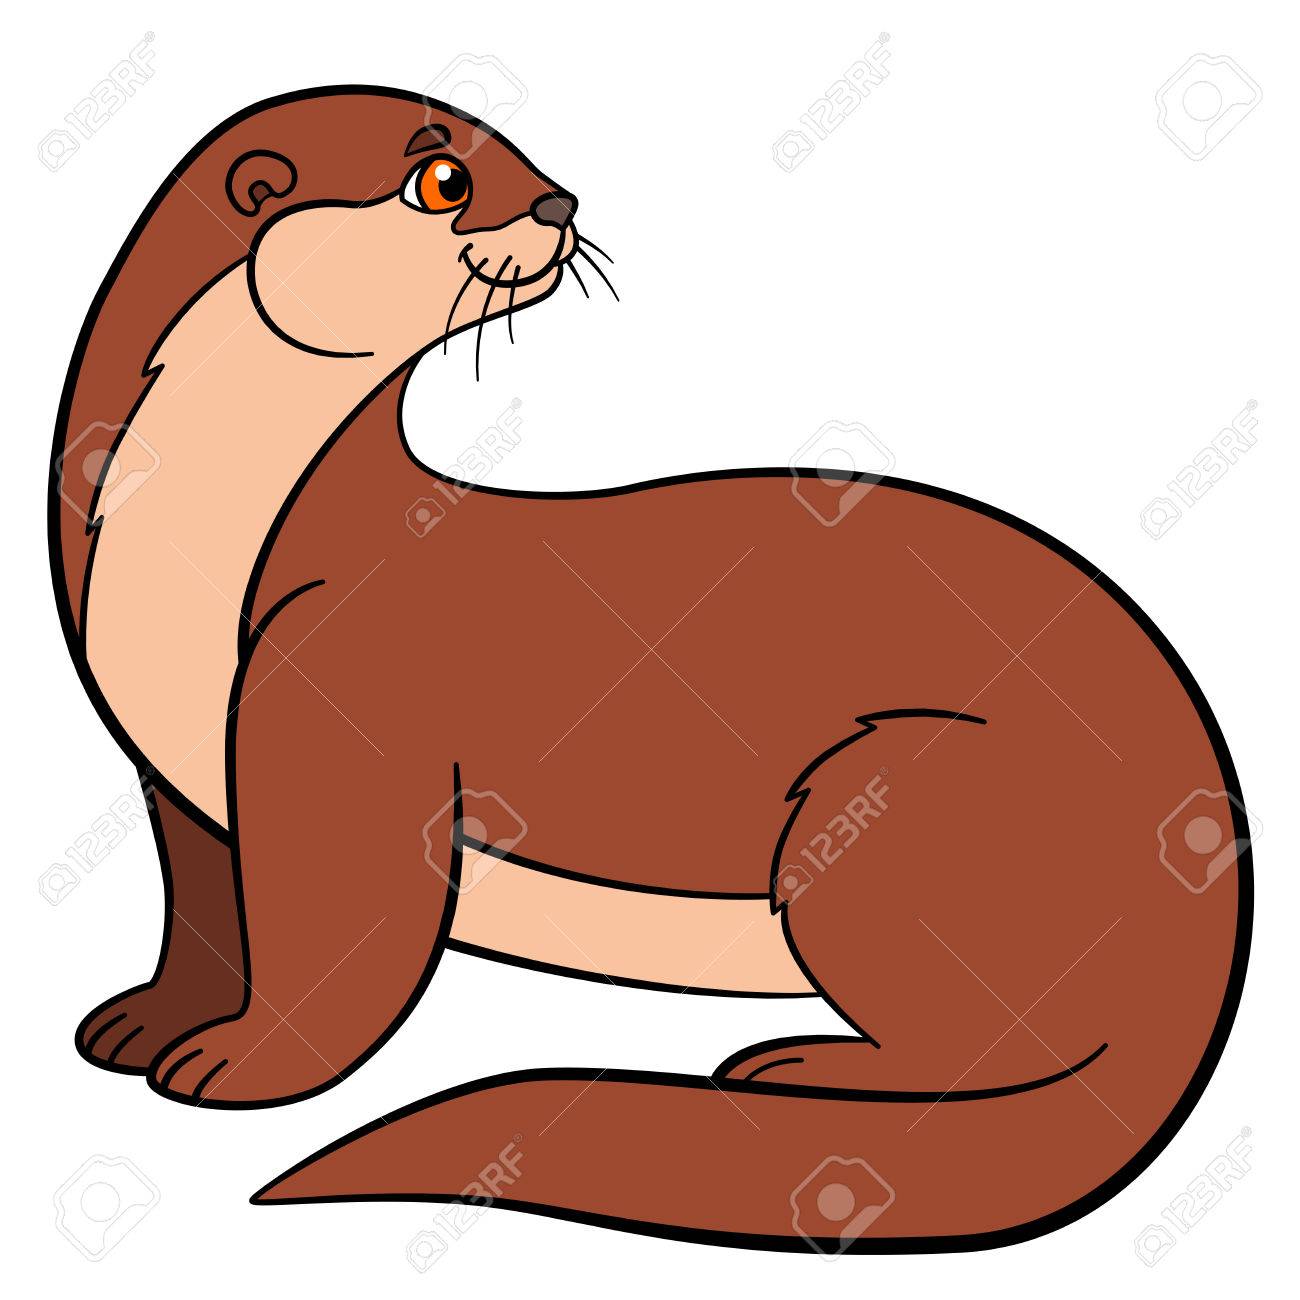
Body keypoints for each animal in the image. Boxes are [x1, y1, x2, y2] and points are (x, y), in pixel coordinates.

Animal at [50, 86, 1250, 1253]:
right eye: (445, 175)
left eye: (516, 154)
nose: (561, 203)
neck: (195, 550)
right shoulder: (171, 770)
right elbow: (204, 913)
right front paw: (146, 1023)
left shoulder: (346, 692)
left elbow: (343, 940)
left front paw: (240, 1069)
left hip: (893, 800)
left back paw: (801, 1066)